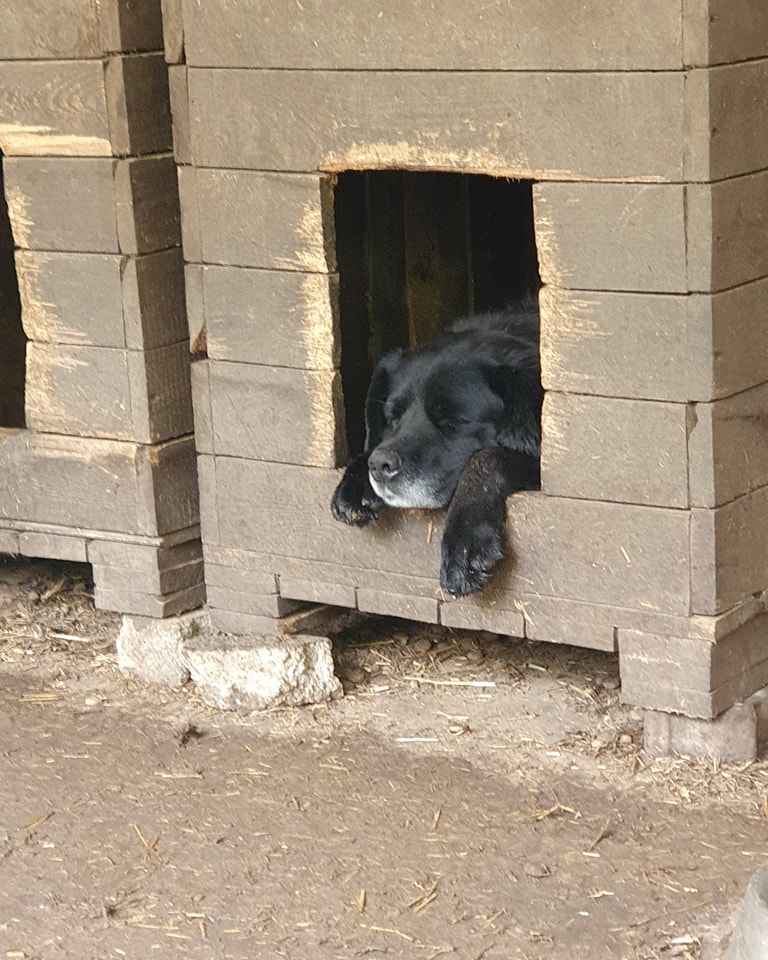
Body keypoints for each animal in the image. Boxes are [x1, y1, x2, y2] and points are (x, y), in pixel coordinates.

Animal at [330, 304, 540, 596]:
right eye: (392, 416)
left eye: (453, 420)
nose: (381, 466)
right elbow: (373, 446)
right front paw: (355, 483)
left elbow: (485, 457)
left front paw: (464, 544)